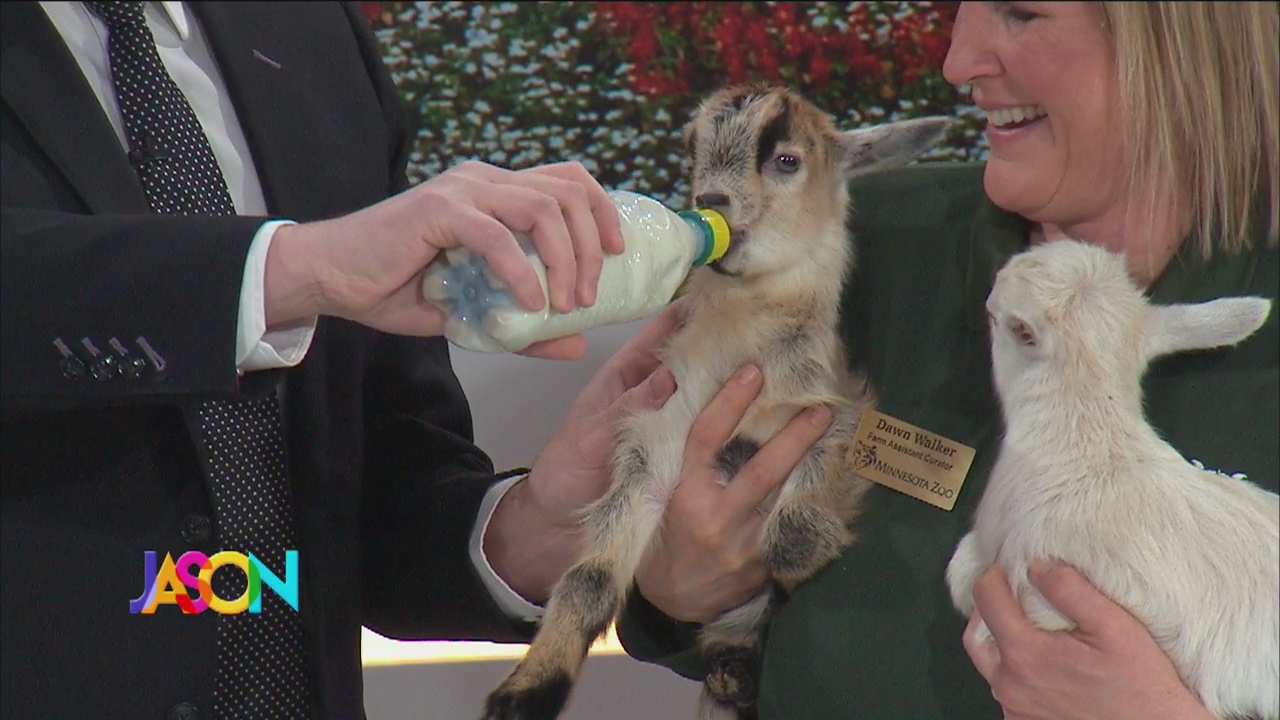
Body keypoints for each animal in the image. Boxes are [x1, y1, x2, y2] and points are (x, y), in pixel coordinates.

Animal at [481, 85, 950, 720]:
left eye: (786, 160)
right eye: (690, 152)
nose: (710, 200)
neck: (740, 352)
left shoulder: (836, 419)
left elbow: (793, 536)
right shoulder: (655, 448)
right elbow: (588, 578)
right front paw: (525, 692)